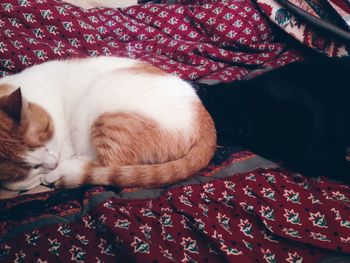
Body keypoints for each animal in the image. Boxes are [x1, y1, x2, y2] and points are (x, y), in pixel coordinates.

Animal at [0, 56, 216, 191]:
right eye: (33, 166)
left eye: (45, 143)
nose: (53, 164)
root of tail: (206, 122)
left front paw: (51, 172)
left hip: (104, 111)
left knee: (105, 165)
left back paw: (62, 173)